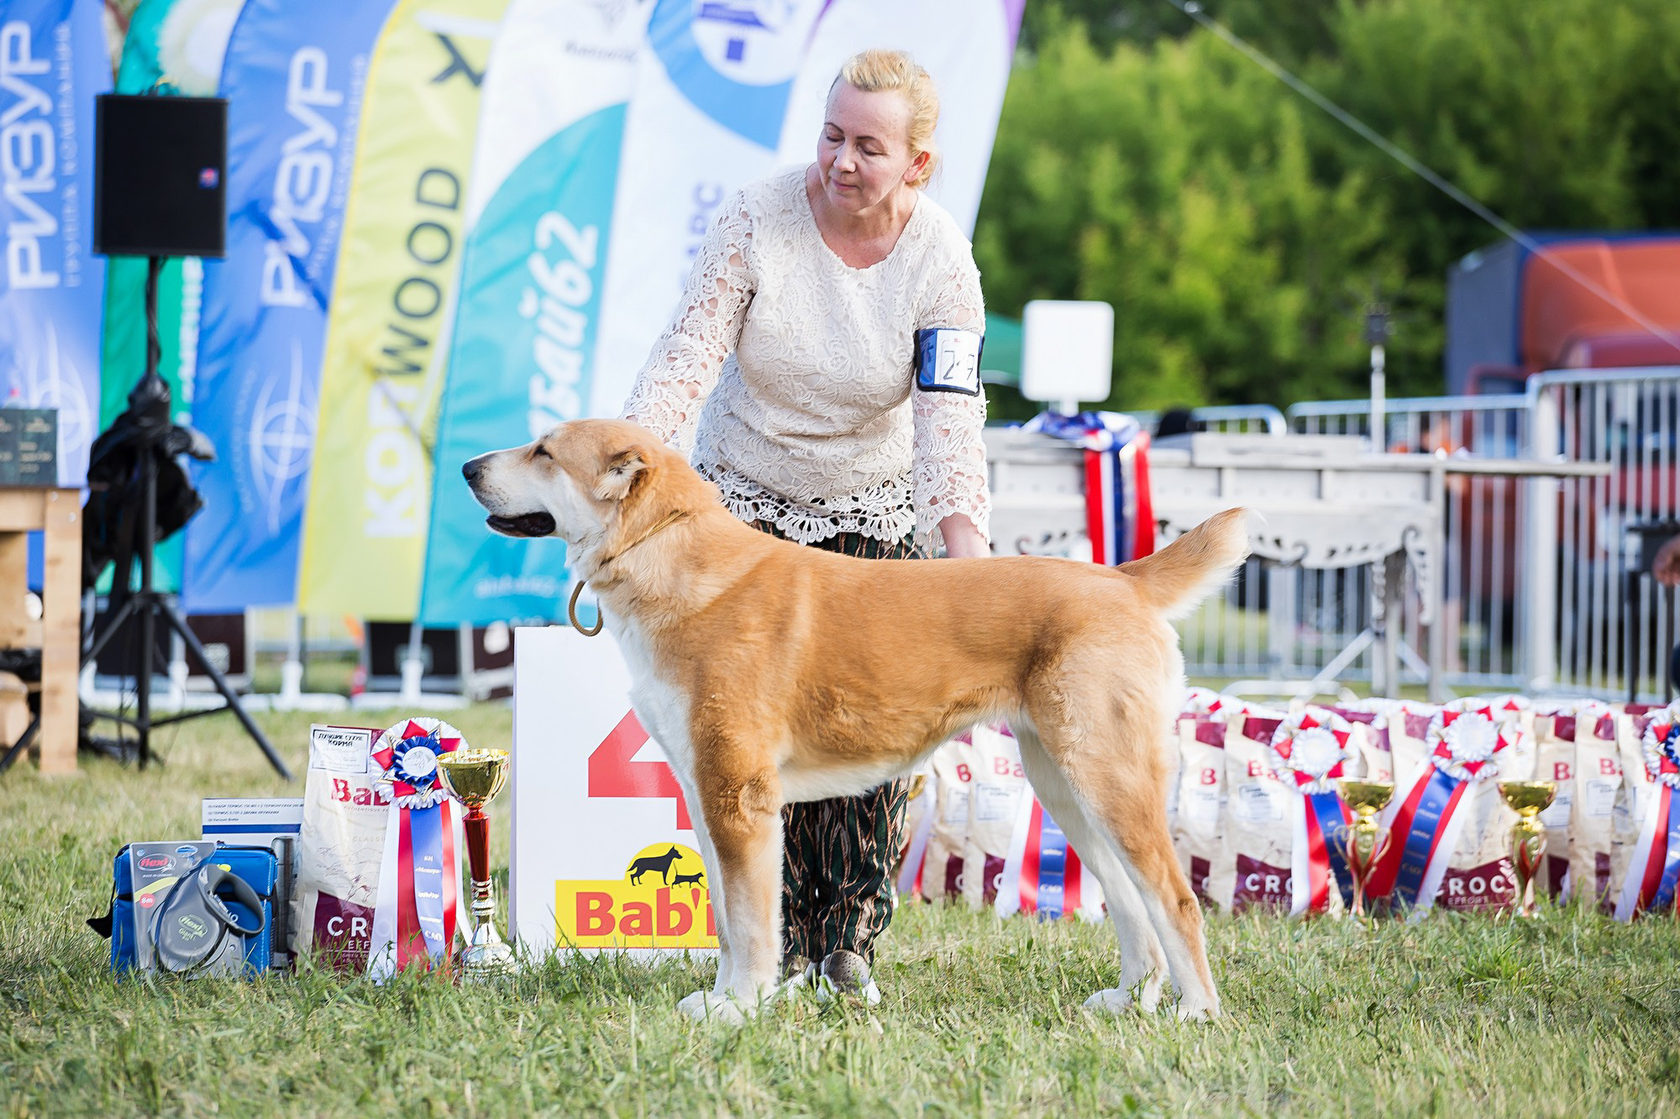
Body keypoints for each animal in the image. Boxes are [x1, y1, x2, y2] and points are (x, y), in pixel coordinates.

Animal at [460, 418, 1249, 1021]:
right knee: (1131, 903)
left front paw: (739, 1009)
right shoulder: (708, 795)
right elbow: (729, 920)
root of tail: (1124, 579)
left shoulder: (738, 797)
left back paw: (1195, 1012)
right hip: (1066, 787)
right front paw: (722, 999)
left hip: (1108, 780)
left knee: (1176, 899)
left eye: (544, 451)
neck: (670, 554)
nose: (467, 466)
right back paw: (1129, 998)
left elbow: (750, 925)